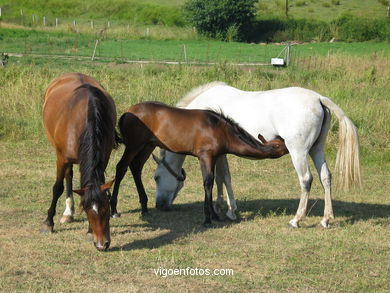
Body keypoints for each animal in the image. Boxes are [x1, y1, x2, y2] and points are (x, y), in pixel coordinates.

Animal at [41, 72, 117, 250]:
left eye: (106, 209)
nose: (102, 244)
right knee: (68, 176)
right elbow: (57, 188)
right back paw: (67, 213)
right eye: (88, 211)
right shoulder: (61, 157)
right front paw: (48, 222)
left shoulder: (104, 156)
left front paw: (89, 232)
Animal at [111, 101, 288, 225]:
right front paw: (208, 218)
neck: (221, 129)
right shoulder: (205, 157)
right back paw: (113, 209)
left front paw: (215, 214)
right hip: (133, 146)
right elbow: (207, 182)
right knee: (121, 168)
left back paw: (144, 207)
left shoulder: (215, 157)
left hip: (147, 146)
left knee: (136, 167)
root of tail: (128, 113)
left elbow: (215, 181)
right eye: (281, 145)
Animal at [154, 81, 362, 227]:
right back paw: (326, 219)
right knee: (325, 177)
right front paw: (220, 206)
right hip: (316, 149)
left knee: (306, 179)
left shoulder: (216, 154)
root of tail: (318, 98)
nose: (159, 206)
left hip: (299, 151)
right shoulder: (218, 154)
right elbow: (221, 178)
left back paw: (296, 220)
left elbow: (225, 177)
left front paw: (230, 210)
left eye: (156, 177)